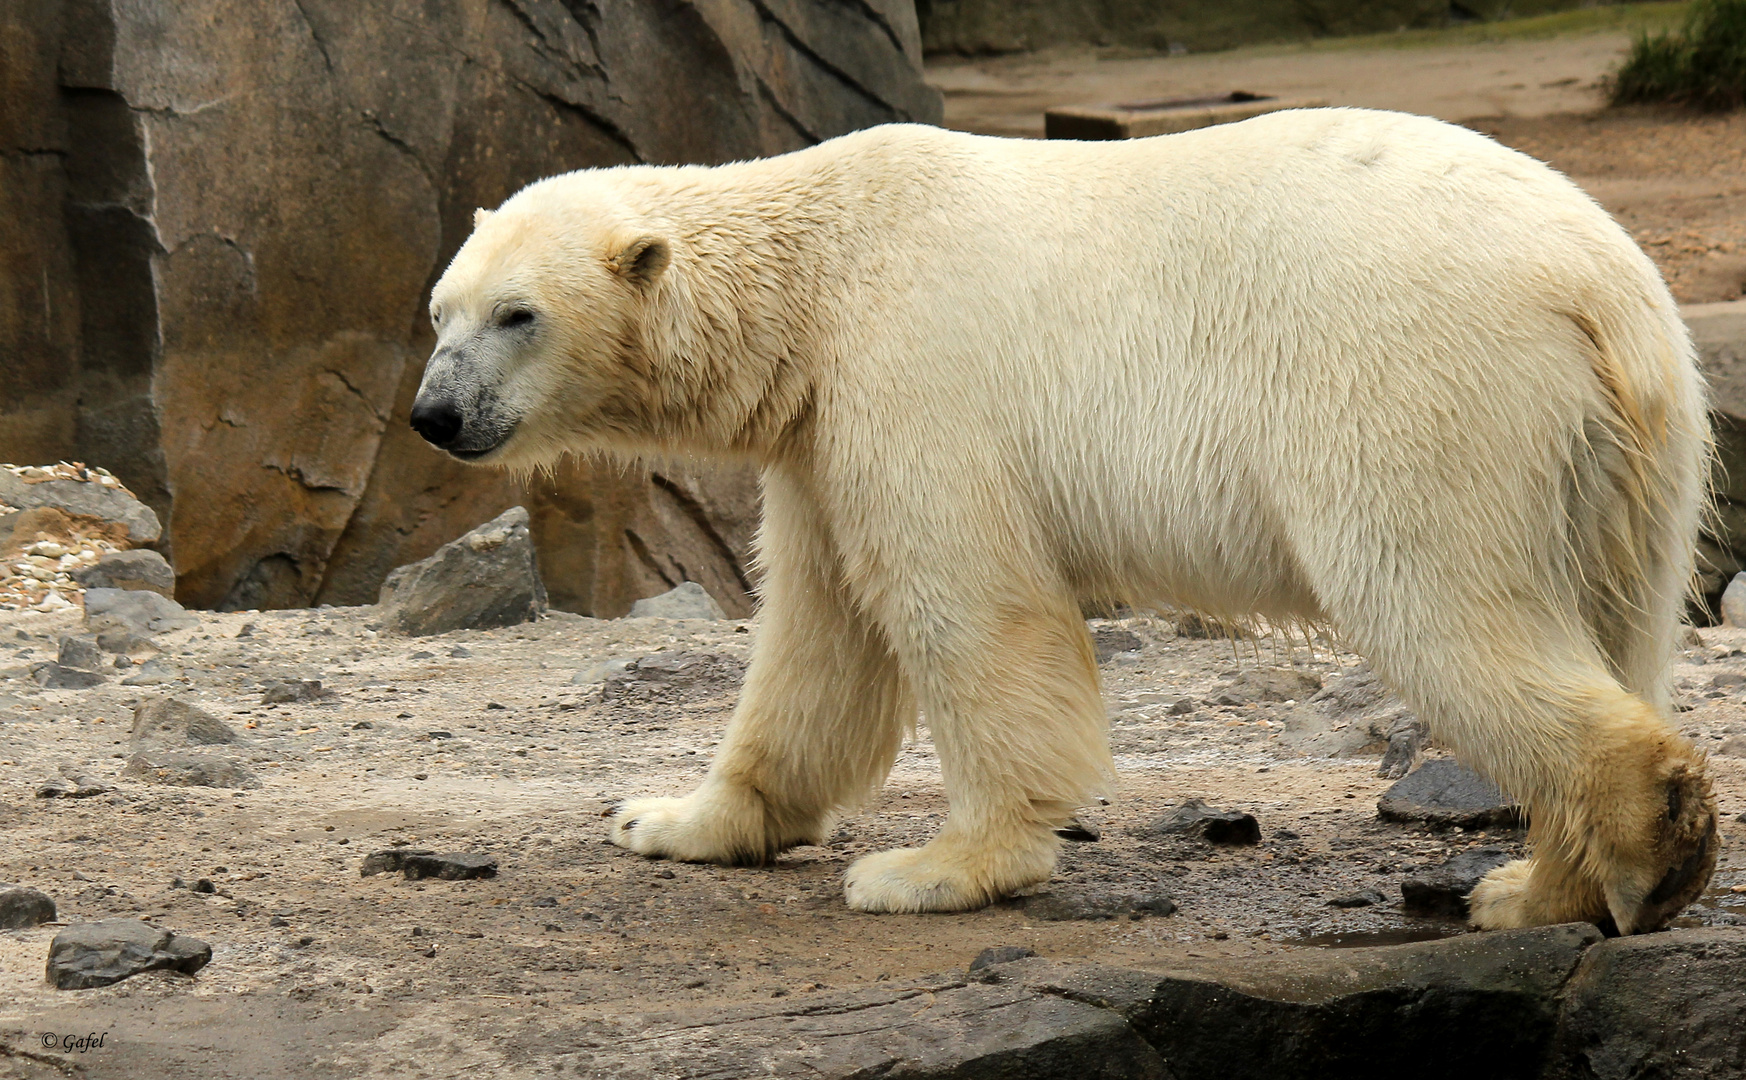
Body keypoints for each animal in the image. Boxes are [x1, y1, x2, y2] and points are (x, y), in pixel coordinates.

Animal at [412, 111, 1718, 935]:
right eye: (439, 308)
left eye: (519, 314)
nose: (433, 413)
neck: (820, 268)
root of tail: (1598, 287)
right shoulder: (826, 430)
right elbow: (817, 640)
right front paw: (673, 819)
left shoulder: (916, 370)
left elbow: (968, 610)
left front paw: (933, 868)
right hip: (1634, 454)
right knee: (1612, 619)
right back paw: (1541, 886)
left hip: (1423, 390)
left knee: (1441, 601)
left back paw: (1640, 851)